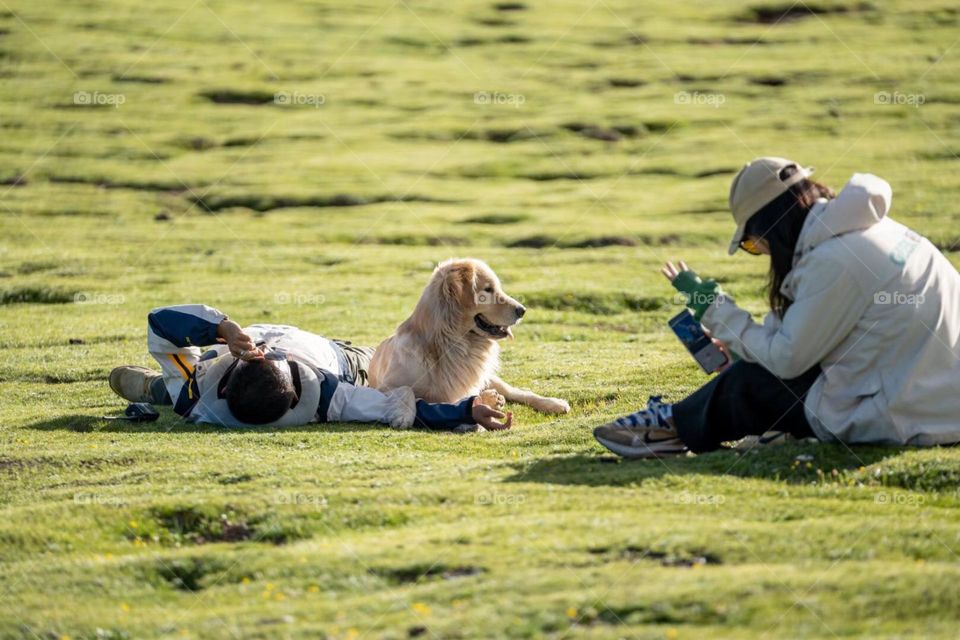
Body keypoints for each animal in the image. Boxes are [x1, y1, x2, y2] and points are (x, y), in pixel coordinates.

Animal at [370, 258, 568, 416]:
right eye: (488, 289)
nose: (523, 310)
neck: (449, 343)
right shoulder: (384, 387)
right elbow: (411, 393)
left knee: (517, 391)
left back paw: (554, 403)